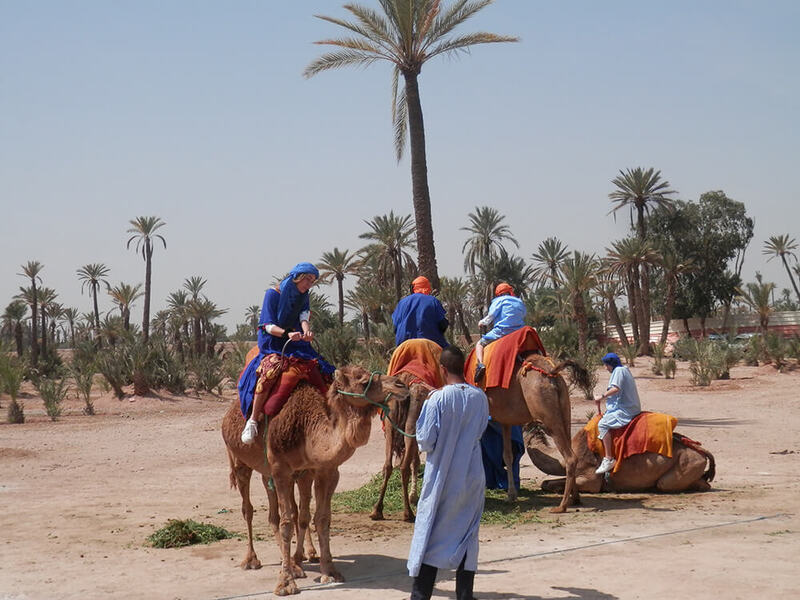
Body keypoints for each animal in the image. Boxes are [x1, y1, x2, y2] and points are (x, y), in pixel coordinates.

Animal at [220, 366, 410, 596]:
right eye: (364, 381)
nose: (401, 385)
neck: (306, 429)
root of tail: (229, 413)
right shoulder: (281, 469)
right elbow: (287, 522)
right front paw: (285, 583)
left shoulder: (322, 471)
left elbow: (319, 518)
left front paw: (329, 571)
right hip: (239, 459)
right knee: (248, 508)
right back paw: (253, 560)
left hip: (270, 472)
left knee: (277, 513)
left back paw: (294, 561)